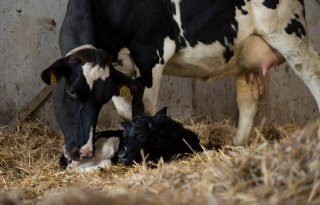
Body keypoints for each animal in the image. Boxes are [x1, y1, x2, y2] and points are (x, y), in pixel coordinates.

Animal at [41, 0, 318, 163]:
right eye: (73, 92)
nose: (83, 152)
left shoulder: (151, 53)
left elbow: (143, 111)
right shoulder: (117, 70)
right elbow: (126, 113)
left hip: (287, 31)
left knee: (313, 74)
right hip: (245, 50)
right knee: (249, 98)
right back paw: (237, 144)